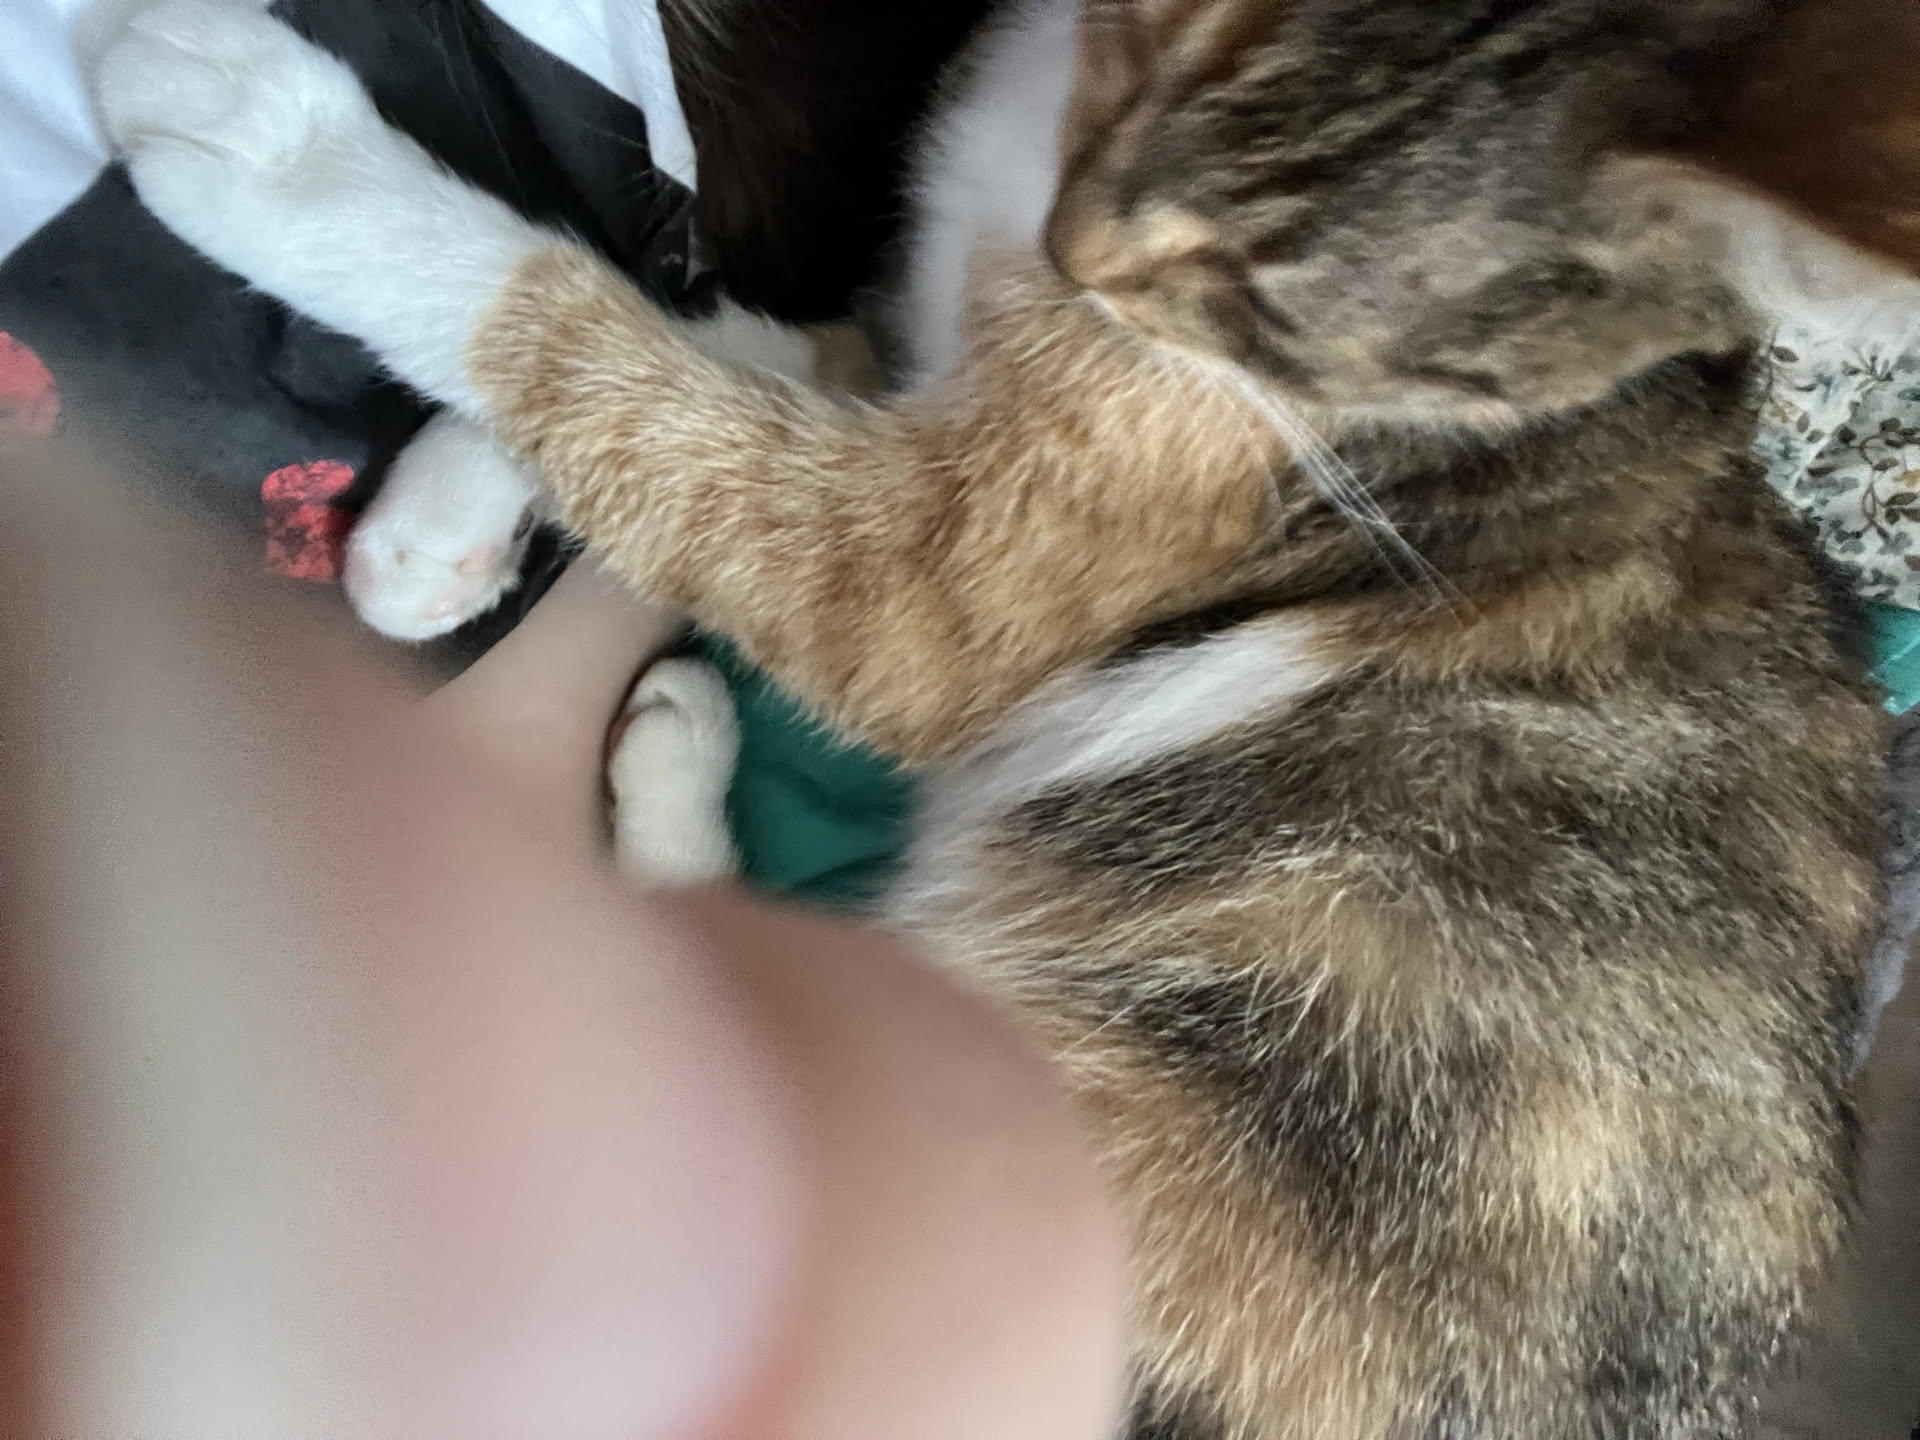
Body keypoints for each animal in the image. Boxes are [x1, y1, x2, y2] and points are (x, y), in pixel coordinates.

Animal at [92, 0, 1920, 1434]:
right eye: (1156, 36)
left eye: (1269, 296)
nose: (1078, 248)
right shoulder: (929, 350)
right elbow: (749, 351)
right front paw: (447, 512)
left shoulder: (941, 578)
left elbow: (681, 423)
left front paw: (280, 155)